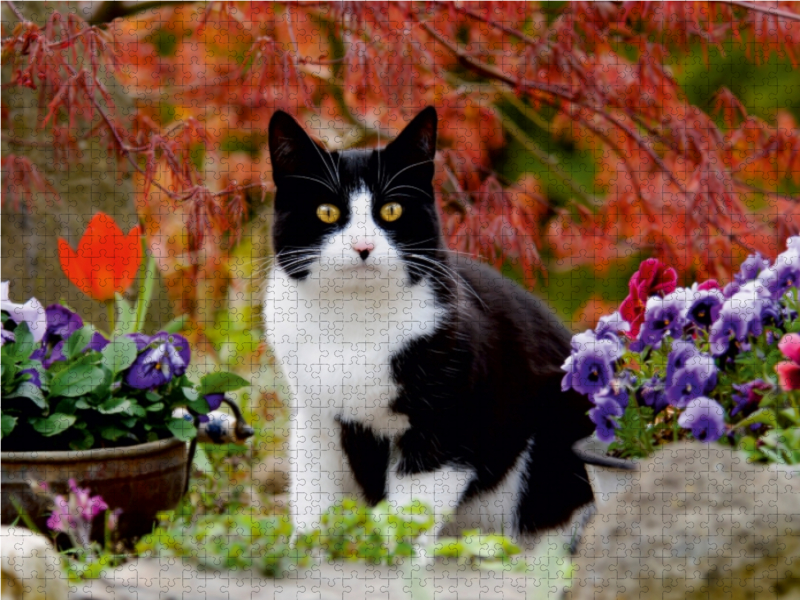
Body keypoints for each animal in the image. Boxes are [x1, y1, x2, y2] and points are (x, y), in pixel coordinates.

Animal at [262, 106, 592, 540]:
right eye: (327, 211)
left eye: (391, 209)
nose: (363, 246)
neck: (354, 322)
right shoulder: (314, 420)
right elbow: (314, 507)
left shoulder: (446, 423)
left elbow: (408, 515)